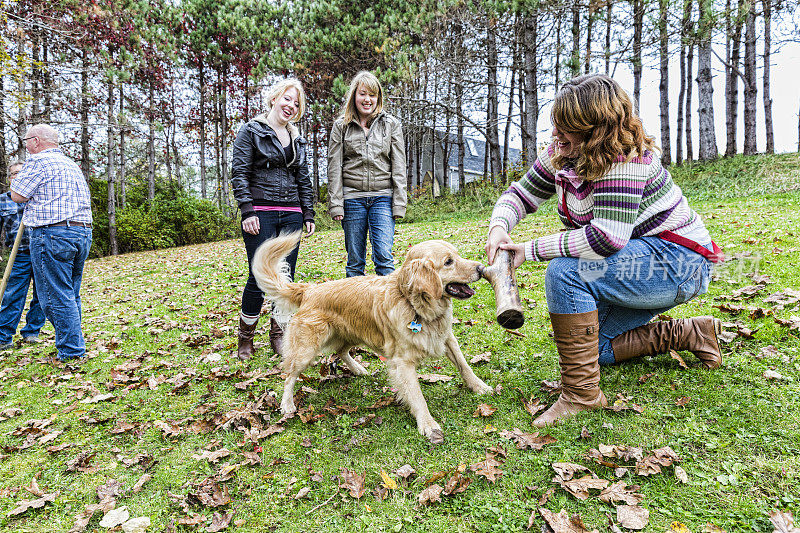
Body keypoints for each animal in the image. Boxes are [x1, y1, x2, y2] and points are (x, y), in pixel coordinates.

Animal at [253, 231, 494, 442]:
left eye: (457, 256)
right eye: (448, 262)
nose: (481, 268)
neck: (415, 305)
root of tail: (309, 289)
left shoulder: (447, 338)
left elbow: (464, 366)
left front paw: (479, 386)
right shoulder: (402, 362)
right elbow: (417, 396)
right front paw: (427, 424)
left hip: (352, 333)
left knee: (340, 351)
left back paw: (358, 368)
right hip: (306, 350)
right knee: (289, 375)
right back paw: (287, 404)